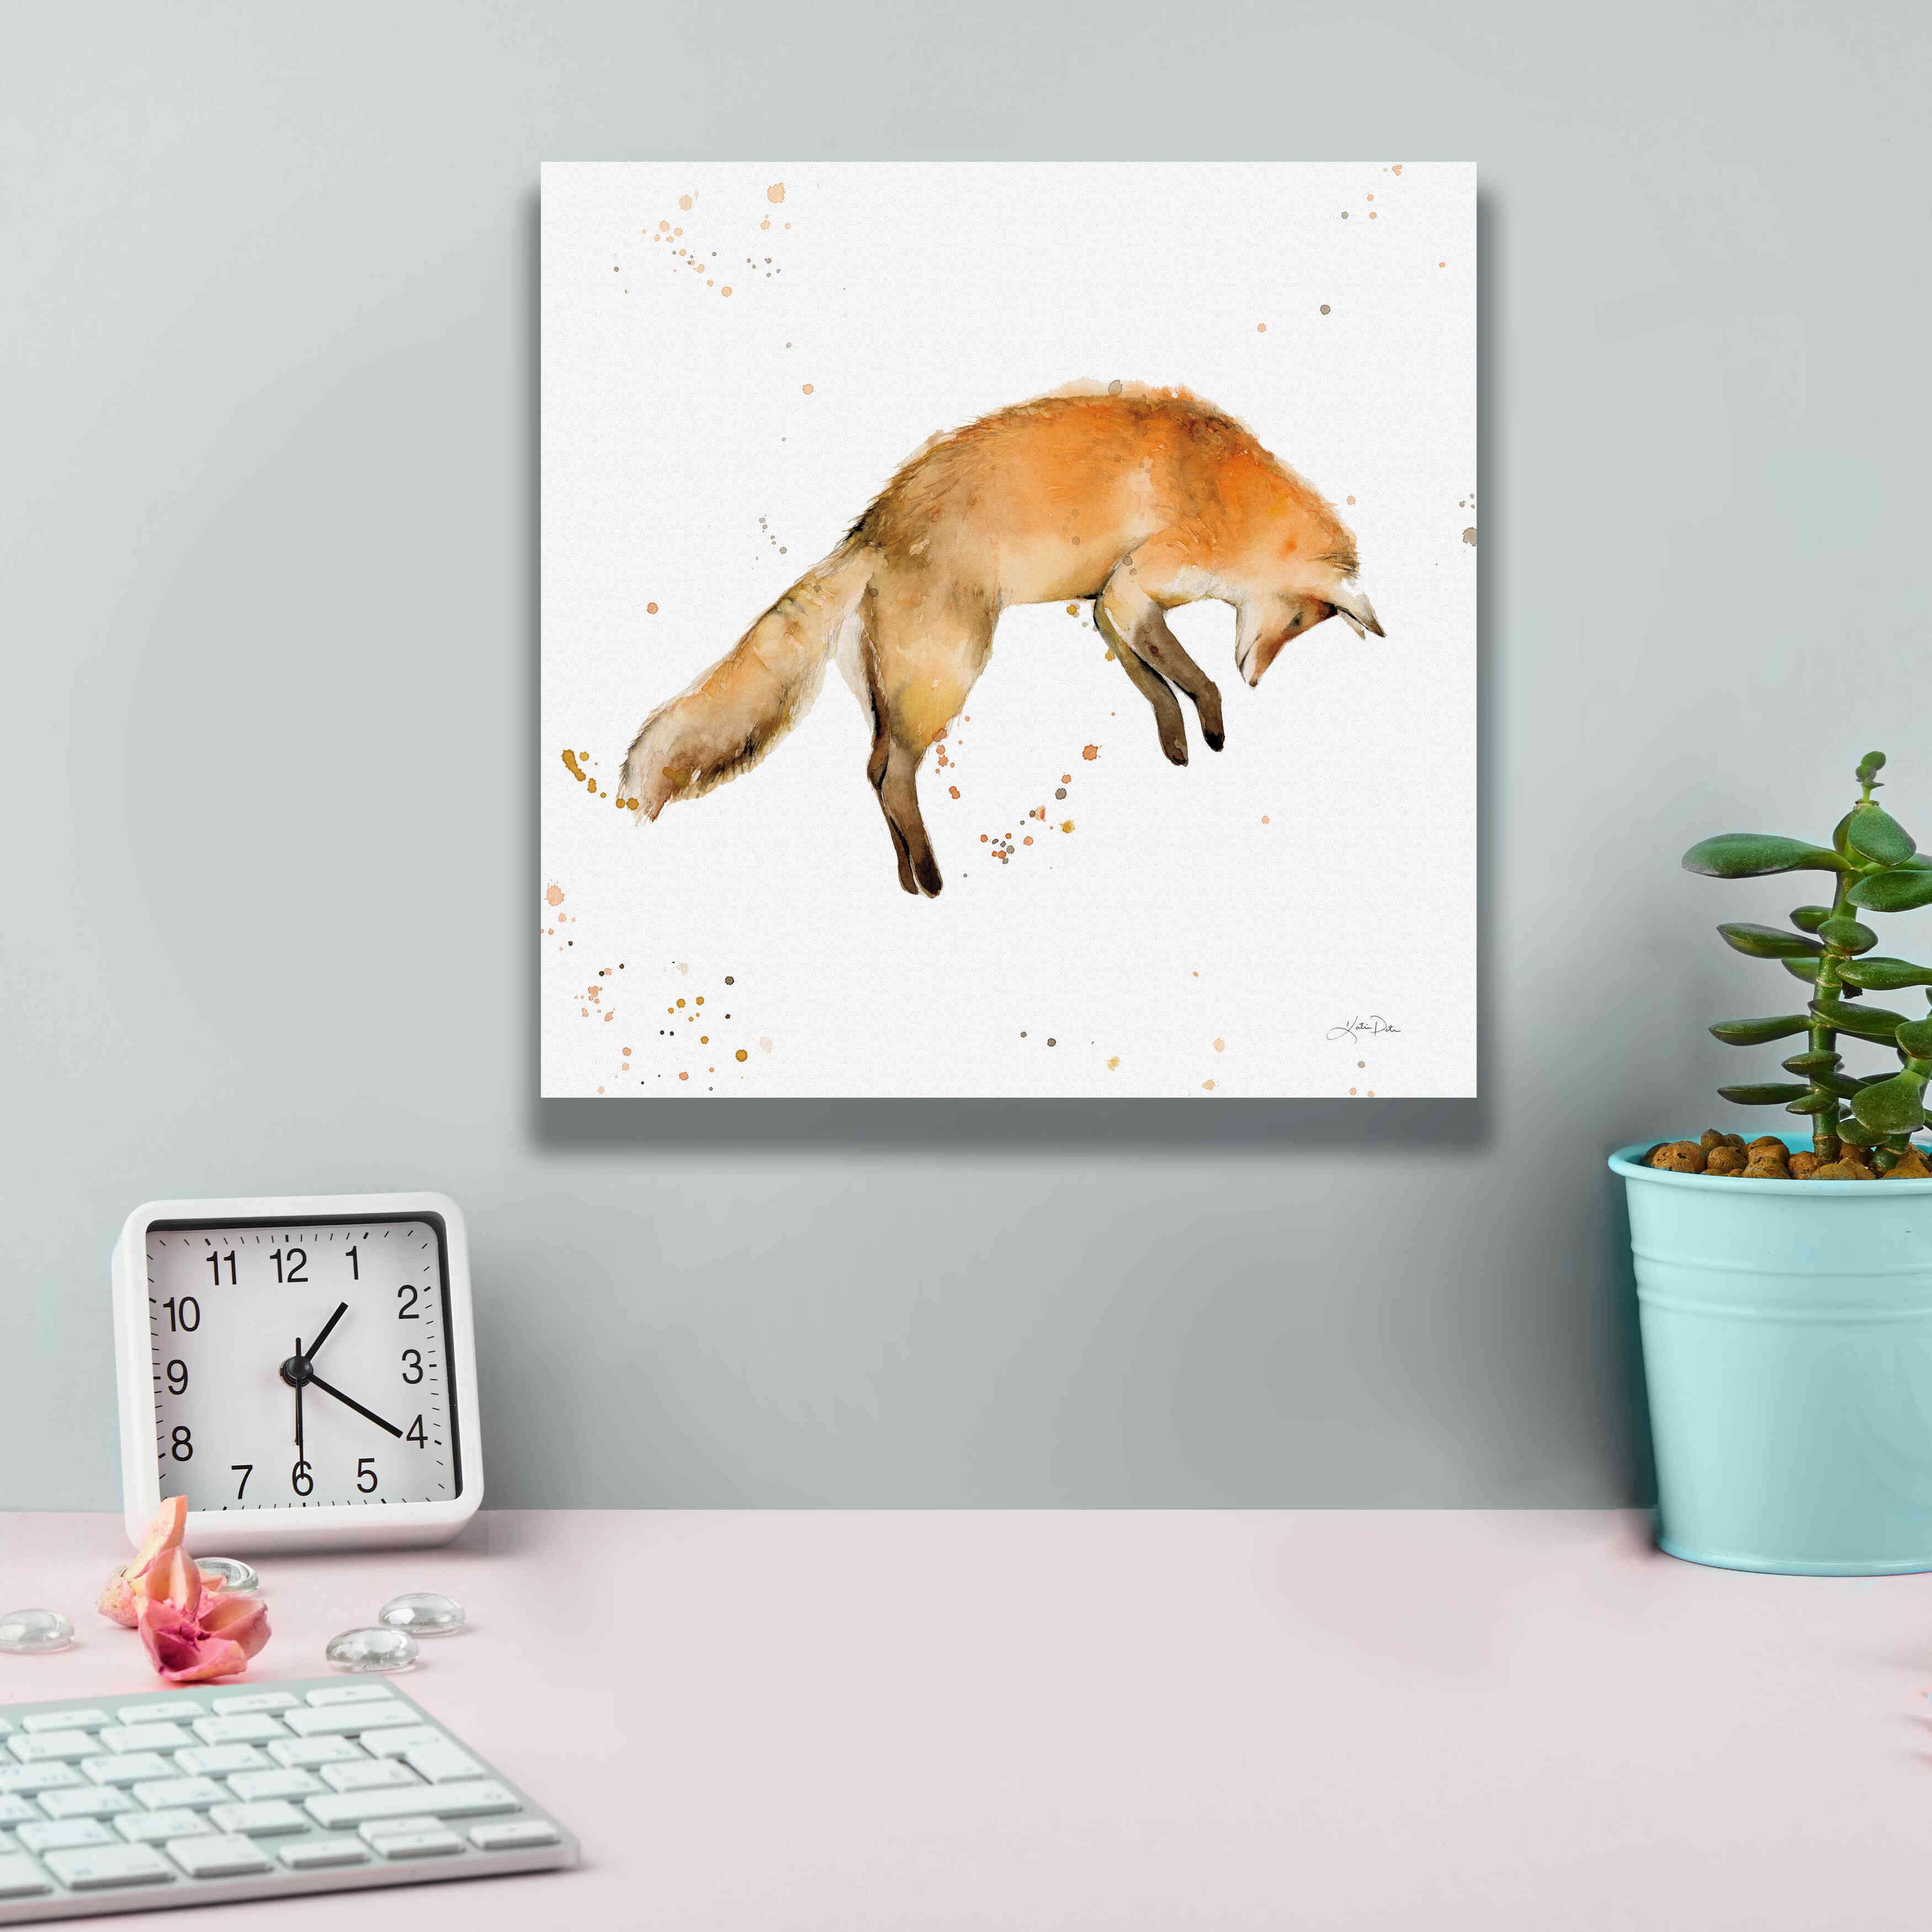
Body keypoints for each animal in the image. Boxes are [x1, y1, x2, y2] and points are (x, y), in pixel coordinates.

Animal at [620, 382, 1383, 898]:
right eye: (1296, 621)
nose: (1257, 675)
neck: (1230, 496)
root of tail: (871, 528)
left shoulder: (1110, 607)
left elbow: (1155, 684)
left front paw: (1176, 739)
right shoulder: (1132, 588)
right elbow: (1194, 677)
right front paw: (1213, 719)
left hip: (895, 689)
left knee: (873, 770)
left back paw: (906, 875)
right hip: (947, 672)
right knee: (893, 774)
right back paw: (931, 876)